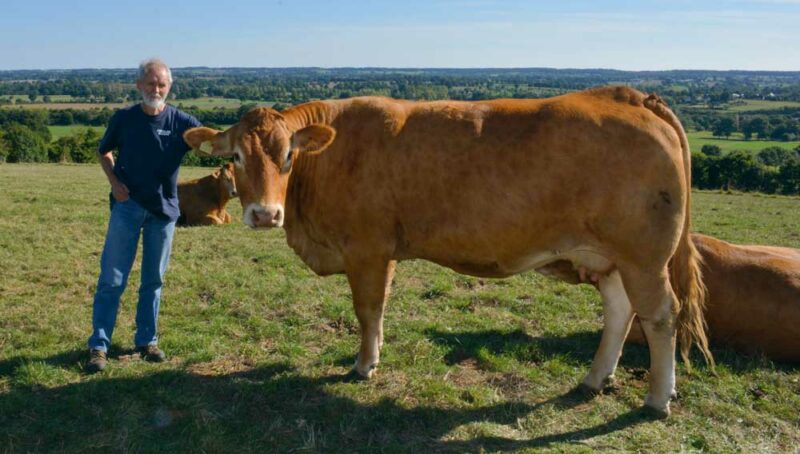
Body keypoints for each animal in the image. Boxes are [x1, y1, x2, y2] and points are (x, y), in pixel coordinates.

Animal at [186, 87, 712, 416]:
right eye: (236, 157)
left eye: (288, 156)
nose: (264, 214)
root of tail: (629, 95)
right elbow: (379, 310)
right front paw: (373, 355)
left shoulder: (367, 249)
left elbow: (367, 309)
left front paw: (364, 365)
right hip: (610, 259)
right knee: (621, 311)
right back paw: (595, 377)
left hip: (645, 259)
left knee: (660, 317)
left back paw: (657, 399)